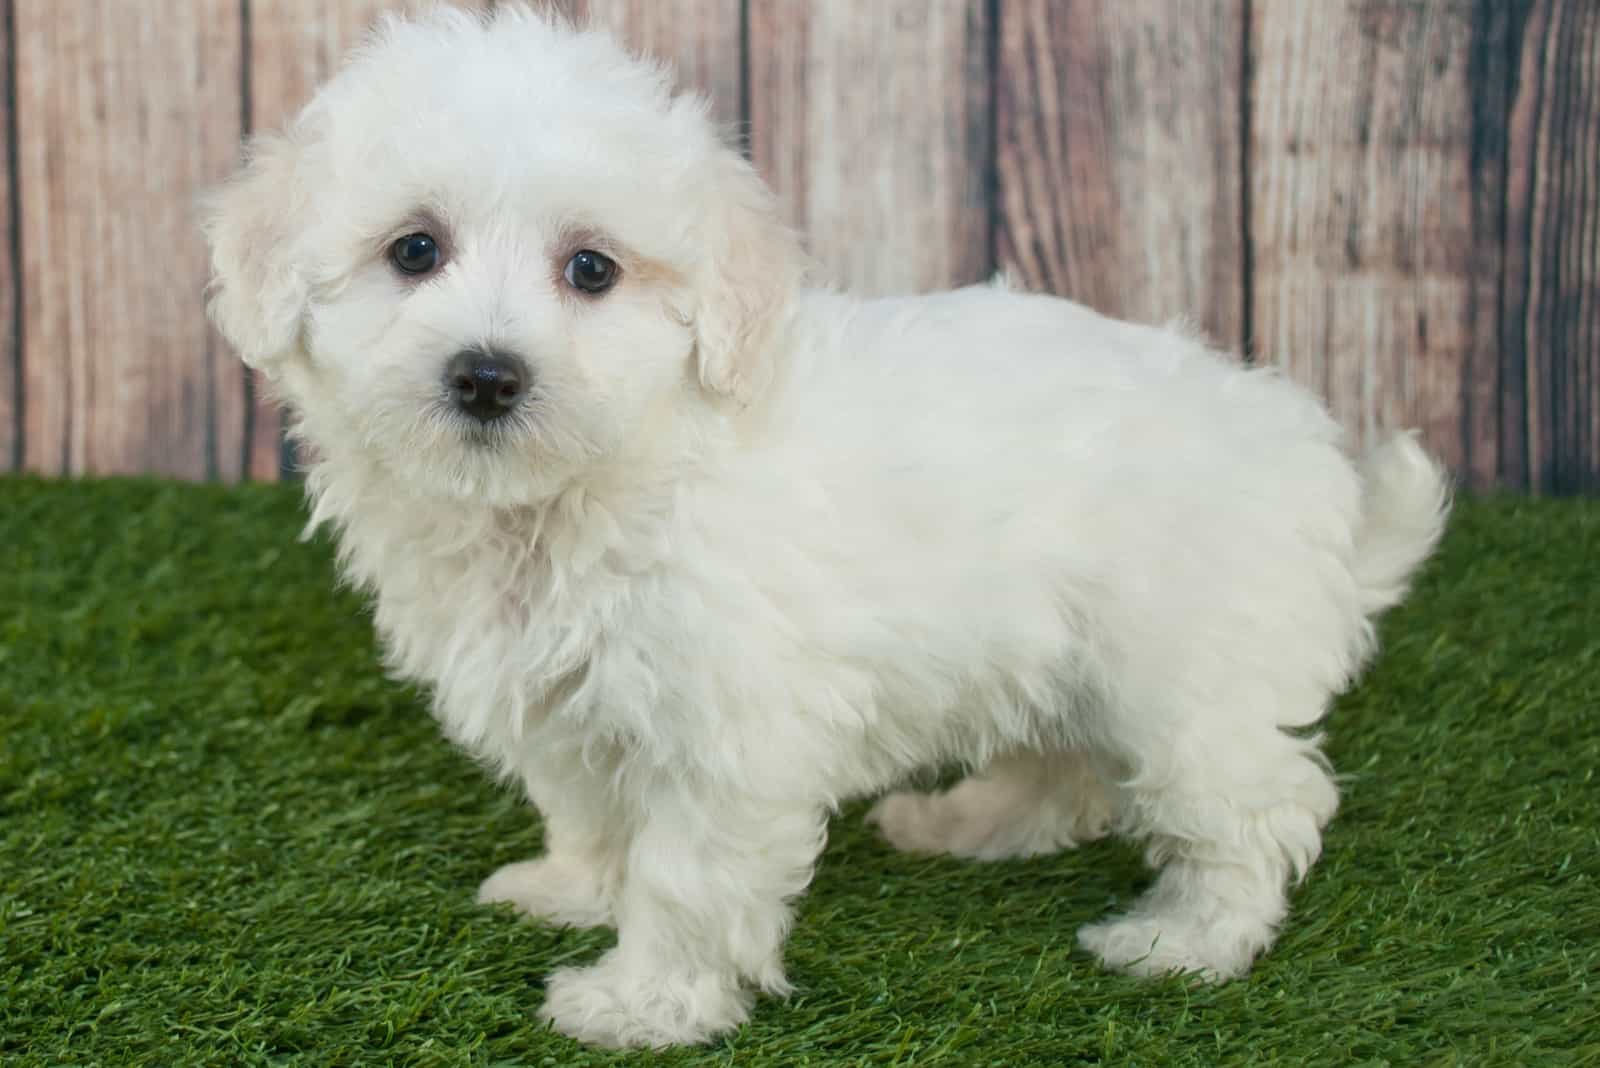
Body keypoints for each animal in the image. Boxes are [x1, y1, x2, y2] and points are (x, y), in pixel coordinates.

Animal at [200, 4, 1452, 1048]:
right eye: (414, 250)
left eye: (591, 269)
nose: (488, 375)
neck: (592, 486)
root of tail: (1313, 470)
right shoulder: (568, 702)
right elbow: (595, 814)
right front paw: (573, 890)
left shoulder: (722, 728)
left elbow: (684, 875)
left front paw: (643, 1004)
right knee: (1068, 769)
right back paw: (968, 822)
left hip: (1183, 677)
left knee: (1255, 805)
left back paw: (1185, 940)